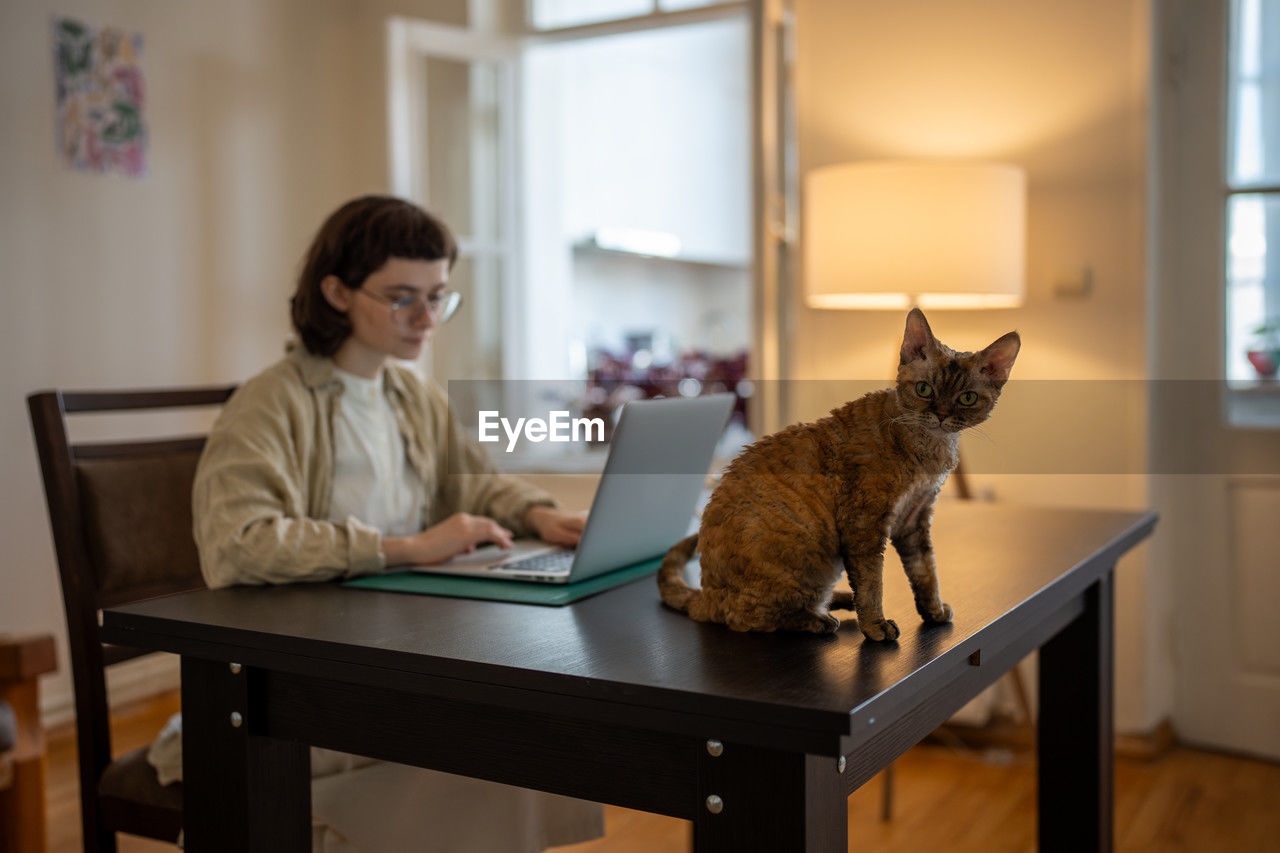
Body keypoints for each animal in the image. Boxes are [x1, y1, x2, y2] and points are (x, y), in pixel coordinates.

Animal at [660, 308, 1018, 640]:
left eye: (967, 398)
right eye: (924, 389)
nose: (941, 415)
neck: (930, 450)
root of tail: (706, 593)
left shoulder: (915, 518)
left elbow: (926, 571)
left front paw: (933, 611)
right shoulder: (864, 525)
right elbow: (872, 583)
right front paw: (875, 627)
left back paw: (840, 600)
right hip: (803, 560)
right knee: (750, 617)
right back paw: (819, 620)